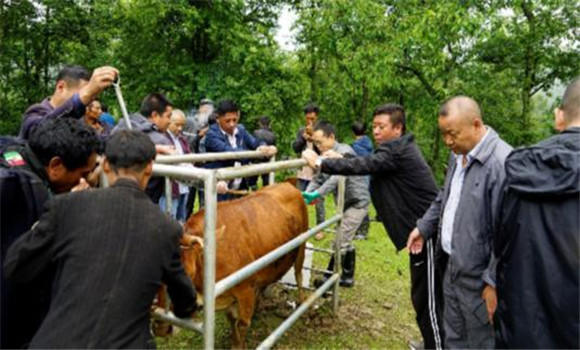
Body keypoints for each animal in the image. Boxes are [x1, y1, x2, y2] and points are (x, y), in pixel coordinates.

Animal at [181, 182, 308, 348]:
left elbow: (242, 323)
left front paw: (239, 346)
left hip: (302, 246)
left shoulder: (245, 289)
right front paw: (234, 343)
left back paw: (302, 302)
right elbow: (231, 319)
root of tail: (287, 184)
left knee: (298, 274)